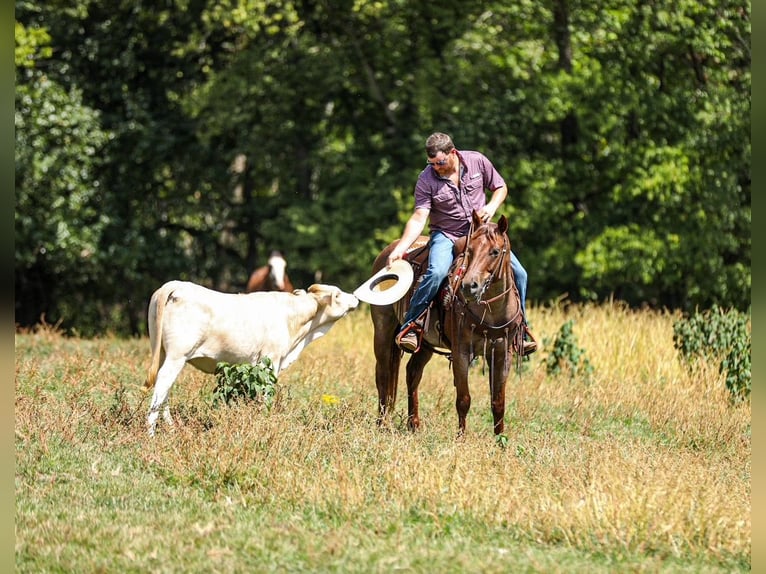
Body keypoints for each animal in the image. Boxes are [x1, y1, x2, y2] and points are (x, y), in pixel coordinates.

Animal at [370, 211, 525, 436]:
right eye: (470, 250)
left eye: (495, 252)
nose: (469, 286)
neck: (491, 312)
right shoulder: (461, 352)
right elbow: (463, 399)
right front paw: (461, 438)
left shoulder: (502, 354)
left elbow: (498, 402)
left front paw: (500, 439)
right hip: (382, 330)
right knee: (383, 375)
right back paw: (382, 423)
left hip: (425, 344)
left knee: (412, 373)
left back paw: (413, 423)